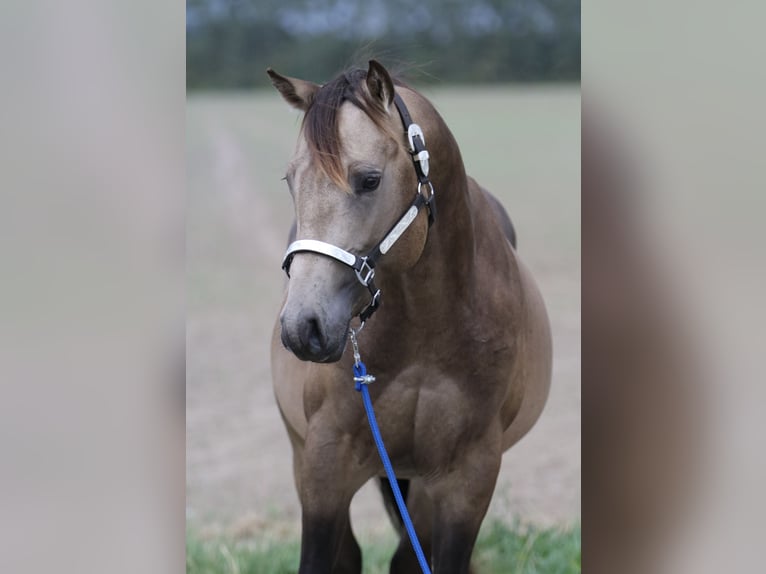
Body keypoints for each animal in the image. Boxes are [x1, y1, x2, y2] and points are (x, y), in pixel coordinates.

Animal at [268, 60, 552, 574]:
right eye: (291, 180)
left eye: (369, 180)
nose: (304, 327)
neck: (425, 330)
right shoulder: (323, 464)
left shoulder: (468, 479)